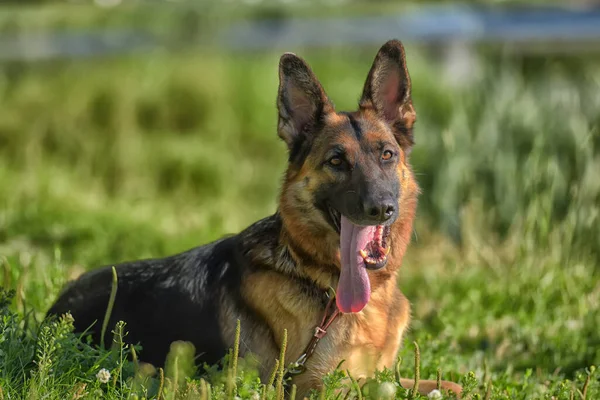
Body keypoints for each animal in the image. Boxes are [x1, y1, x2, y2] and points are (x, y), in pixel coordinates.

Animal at [49, 40, 466, 396]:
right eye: (336, 161)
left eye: (387, 155)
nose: (381, 208)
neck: (319, 277)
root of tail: (53, 311)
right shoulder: (316, 386)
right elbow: (385, 389)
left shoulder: (377, 373)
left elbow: (448, 385)